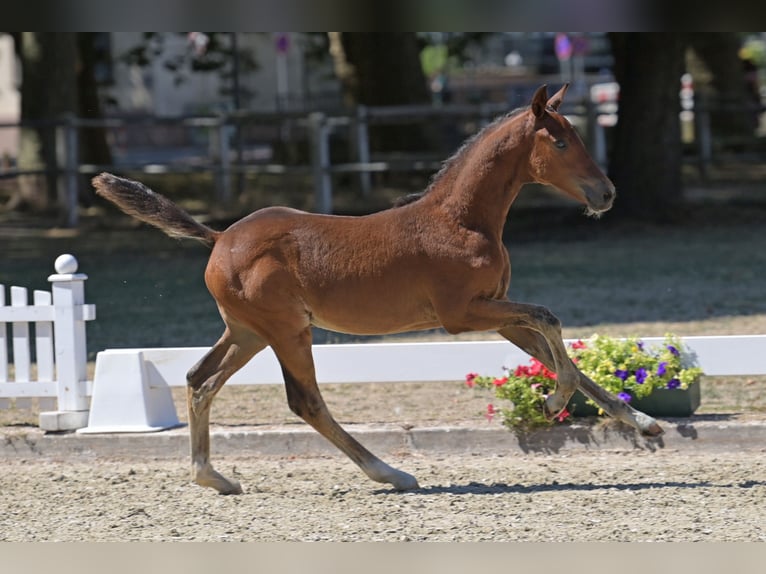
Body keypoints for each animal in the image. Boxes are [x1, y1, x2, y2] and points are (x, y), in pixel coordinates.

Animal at [93, 84, 663, 495]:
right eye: (561, 141)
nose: (606, 193)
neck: (460, 220)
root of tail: (219, 238)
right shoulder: (462, 314)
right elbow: (549, 318)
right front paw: (551, 404)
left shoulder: (497, 312)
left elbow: (558, 351)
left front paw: (645, 421)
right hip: (286, 329)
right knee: (305, 401)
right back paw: (392, 474)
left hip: (248, 331)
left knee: (199, 379)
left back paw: (213, 477)